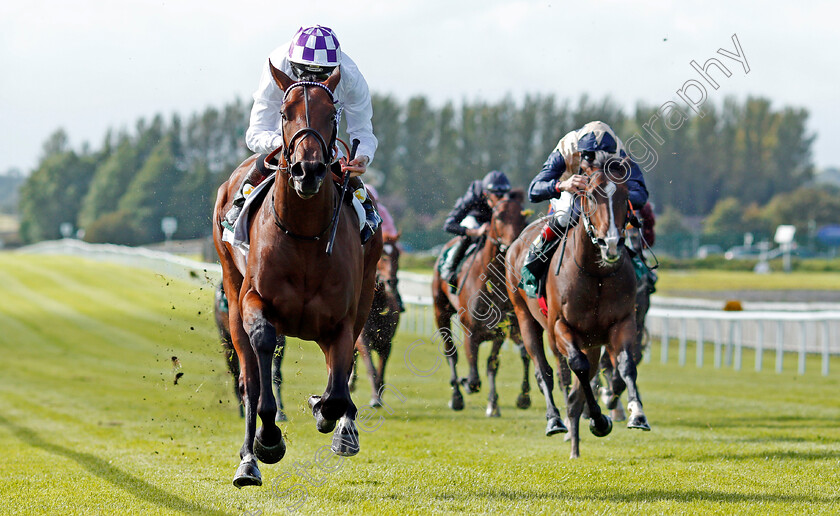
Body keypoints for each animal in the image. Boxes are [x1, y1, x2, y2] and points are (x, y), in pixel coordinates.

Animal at [212, 65, 382, 488]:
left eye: (332, 113)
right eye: (285, 113)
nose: (309, 170)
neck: (304, 233)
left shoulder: (340, 318)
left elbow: (338, 389)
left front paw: (326, 411)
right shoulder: (253, 300)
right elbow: (261, 361)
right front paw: (268, 441)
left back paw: (342, 426)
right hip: (231, 292)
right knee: (249, 378)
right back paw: (248, 459)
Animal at [348, 234, 400, 408]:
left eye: (398, 254)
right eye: (383, 255)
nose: (392, 281)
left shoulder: (386, 343)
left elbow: (381, 370)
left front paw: (379, 395)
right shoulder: (363, 340)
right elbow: (371, 368)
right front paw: (374, 398)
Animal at [434, 191, 532, 418]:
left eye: (523, 217)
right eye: (499, 216)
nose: (514, 245)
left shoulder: (500, 331)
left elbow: (491, 365)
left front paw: (494, 404)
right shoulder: (471, 332)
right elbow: (473, 378)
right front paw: (465, 385)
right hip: (440, 312)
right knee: (451, 352)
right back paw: (456, 397)